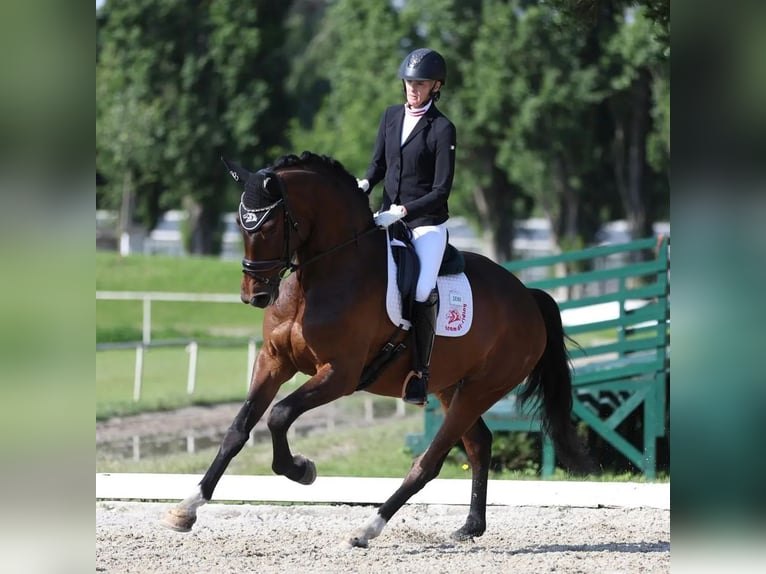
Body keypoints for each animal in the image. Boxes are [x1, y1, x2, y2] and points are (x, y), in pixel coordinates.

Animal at [162, 151, 592, 548]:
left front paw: (300, 469)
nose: (254, 295)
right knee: (479, 444)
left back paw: (368, 528)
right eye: (240, 224)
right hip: (451, 387)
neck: (320, 276)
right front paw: (187, 507)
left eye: (269, 225)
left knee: (430, 462)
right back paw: (470, 527)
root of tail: (527, 296)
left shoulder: (340, 373)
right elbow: (238, 429)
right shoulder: (273, 360)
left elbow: (280, 415)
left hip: (481, 389)